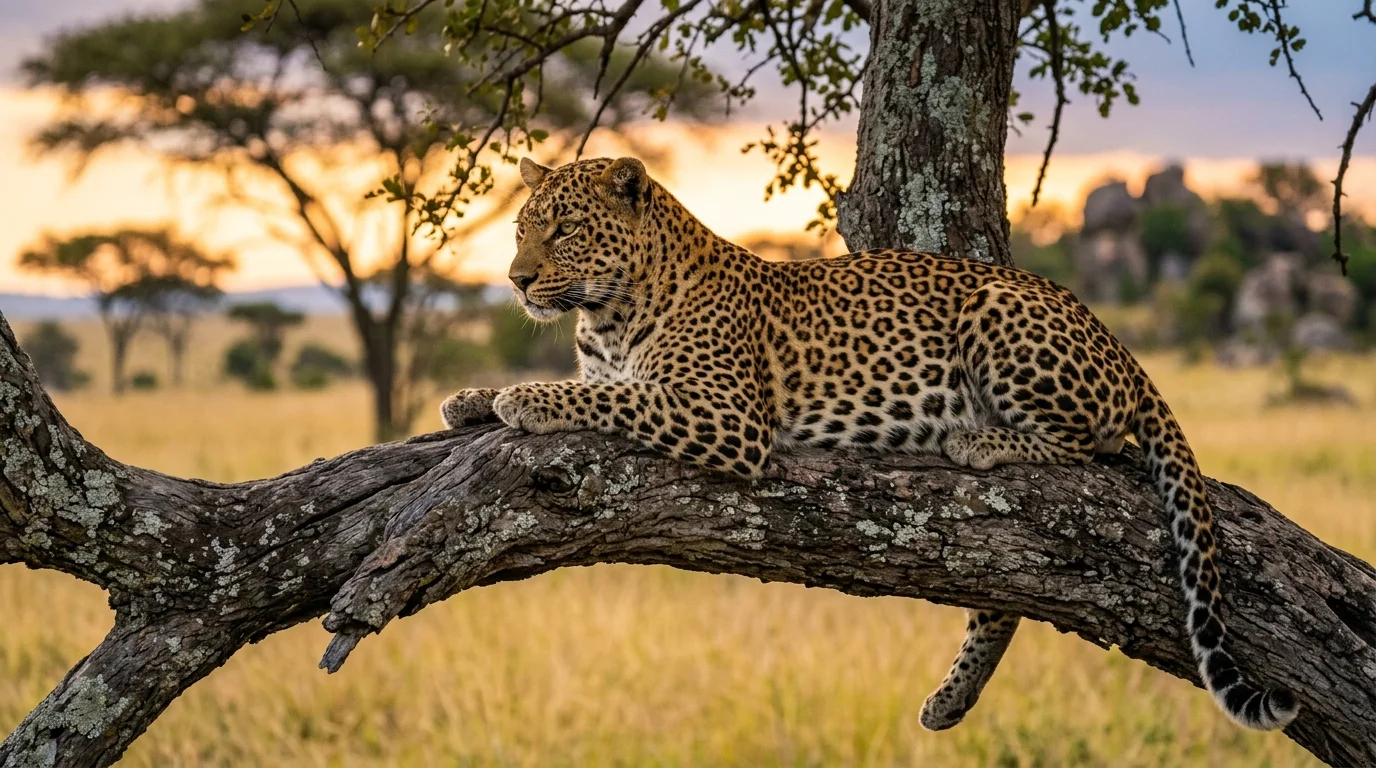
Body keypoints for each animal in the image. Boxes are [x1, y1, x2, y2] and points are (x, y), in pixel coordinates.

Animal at [440, 155, 1298, 732]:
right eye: (520, 230)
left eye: (565, 231)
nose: (516, 281)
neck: (607, 314)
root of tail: (1121, 345)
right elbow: (588, 385)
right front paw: (466, 397)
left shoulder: (724, 415)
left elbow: (605, 396)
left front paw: (522, 398)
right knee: (1003, 598)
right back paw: (950, 700)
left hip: (997, 309)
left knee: (1091, 445)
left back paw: (976, 439)